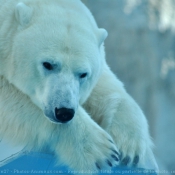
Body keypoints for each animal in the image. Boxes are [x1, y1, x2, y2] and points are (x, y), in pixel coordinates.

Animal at [0, 0, 158, 173]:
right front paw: (101, 151)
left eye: (83, 74)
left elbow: (107, 88)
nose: (64, 112)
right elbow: (14, 98)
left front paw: (130, 148)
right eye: (47, 64)